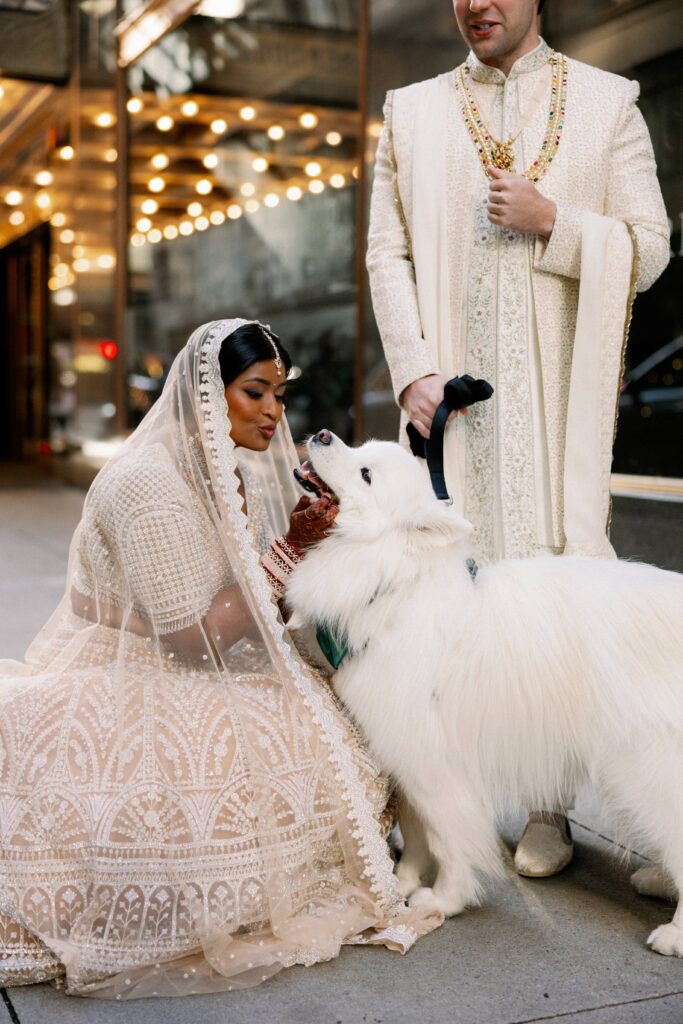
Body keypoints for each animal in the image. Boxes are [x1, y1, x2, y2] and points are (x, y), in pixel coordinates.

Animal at [286, 428, 683, 954]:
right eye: (359, 447)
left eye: (366, 473)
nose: (322, 433)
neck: (394, 581)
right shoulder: (406, 753)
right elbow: (417, 831)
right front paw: (406, 880)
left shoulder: (435, 762)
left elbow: (449, 837)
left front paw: (444, 900)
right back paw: (658, 880)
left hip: (643, 767)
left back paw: (674, 933)